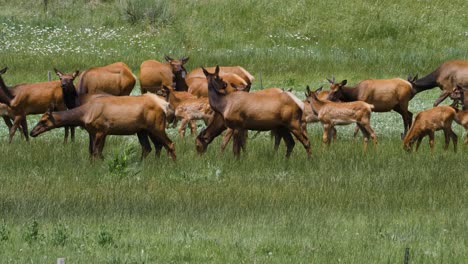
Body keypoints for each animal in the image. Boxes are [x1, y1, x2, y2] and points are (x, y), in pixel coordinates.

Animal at [29, 93, 176, 160]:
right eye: (40, 119)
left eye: (43, 120)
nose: (32, 132)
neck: (84, 114)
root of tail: (166, 105)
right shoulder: (97, 132)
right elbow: (95, 151)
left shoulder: (101, 130)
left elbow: (95, 151)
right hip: (142, 130)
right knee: (149, 147)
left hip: (156, 126)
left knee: (169, 144)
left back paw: (173, 164)